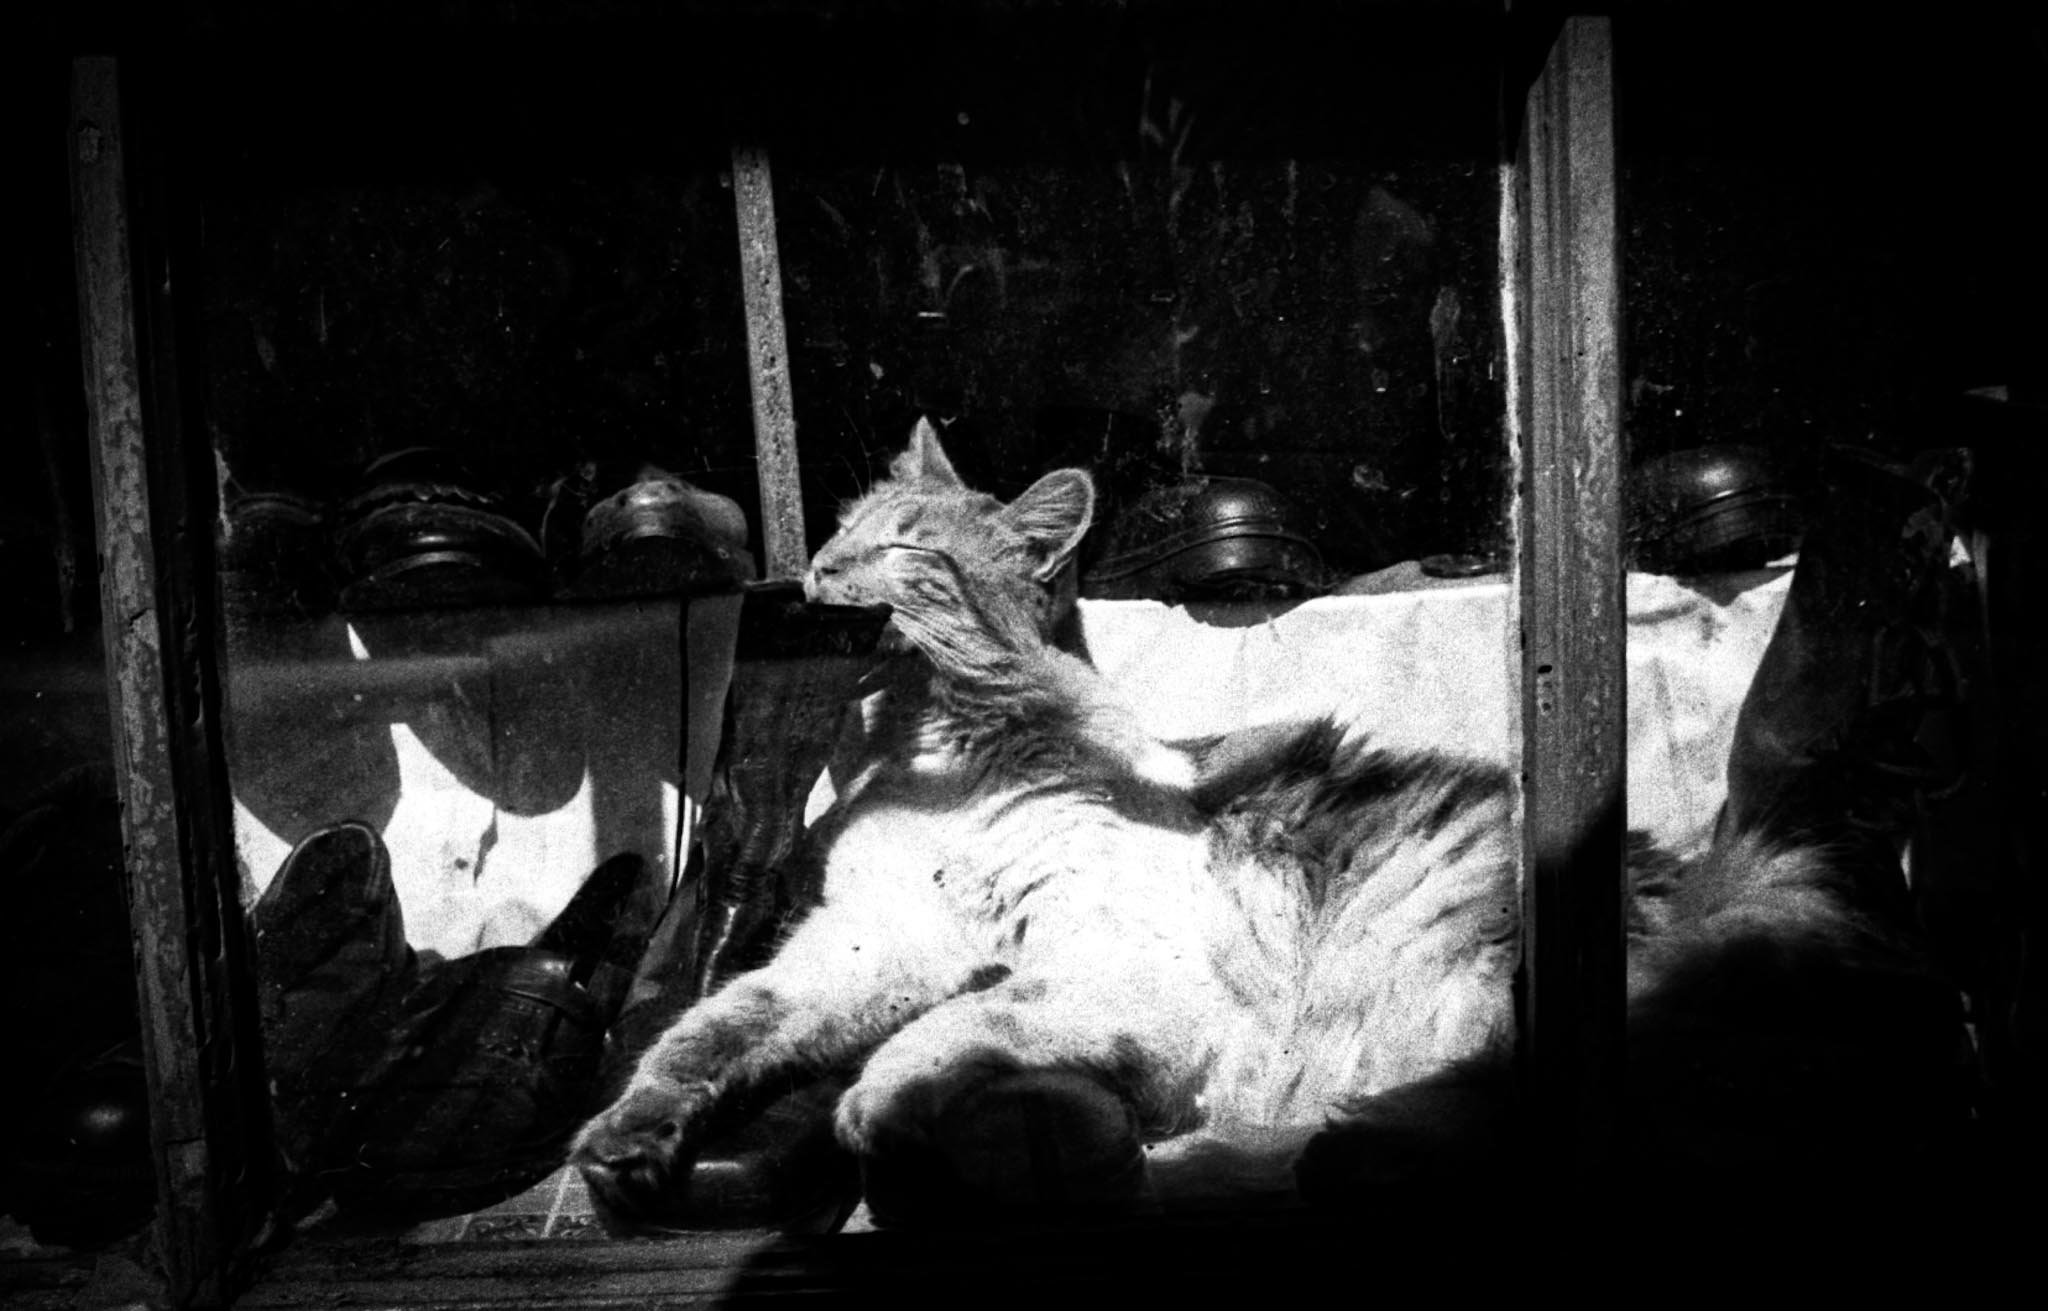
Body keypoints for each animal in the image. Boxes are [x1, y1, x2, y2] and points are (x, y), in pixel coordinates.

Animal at [571, 418, 1970, 1222]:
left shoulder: (1104, 968)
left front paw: (875, 1104)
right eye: (843, 534)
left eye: (905, 549)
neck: (929, 760)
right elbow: (712, 1032)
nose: (812, 578)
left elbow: (940, 1030)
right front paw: (628, 1141)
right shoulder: (859, 943)